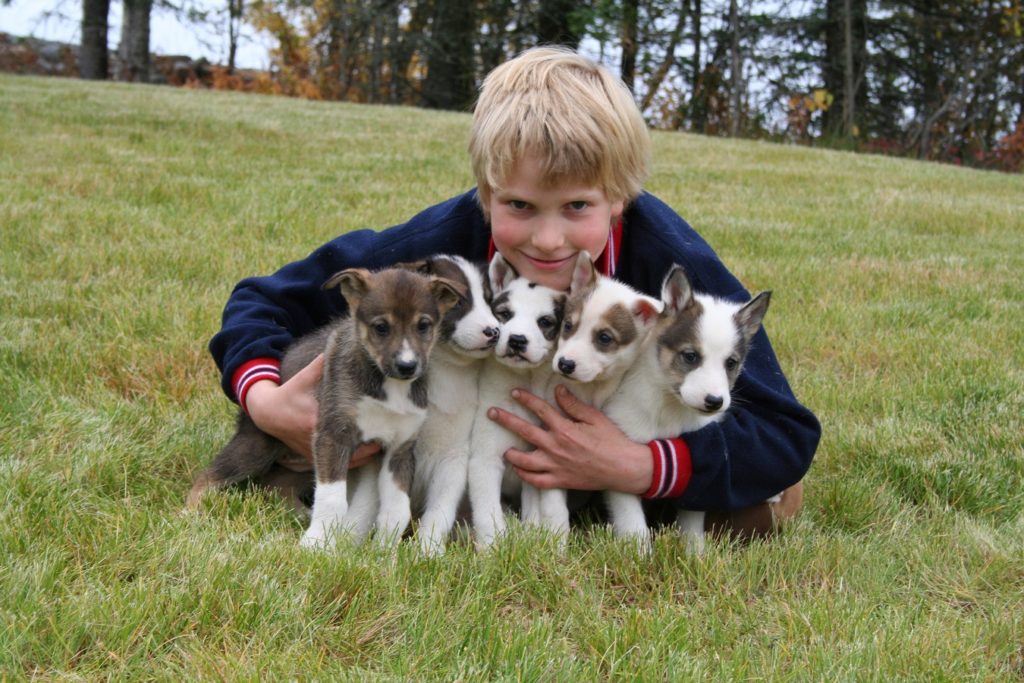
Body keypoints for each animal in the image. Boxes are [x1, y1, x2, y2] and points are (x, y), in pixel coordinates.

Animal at [468, 254, 565, 548]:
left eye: (545, 322)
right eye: (504, 314)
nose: (517, 340)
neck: (524, 380)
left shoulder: (540, 462)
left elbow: (544, 508)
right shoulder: (484, 460)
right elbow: (488, 514)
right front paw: (492, 550)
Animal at [602, 264, 770, 552]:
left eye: (731, 363)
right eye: (690, 356)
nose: (714, 401)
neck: (669, 406)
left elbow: (692, 519)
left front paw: (695, 554)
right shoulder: (620, 456)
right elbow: (633, 523)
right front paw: (639, 555)